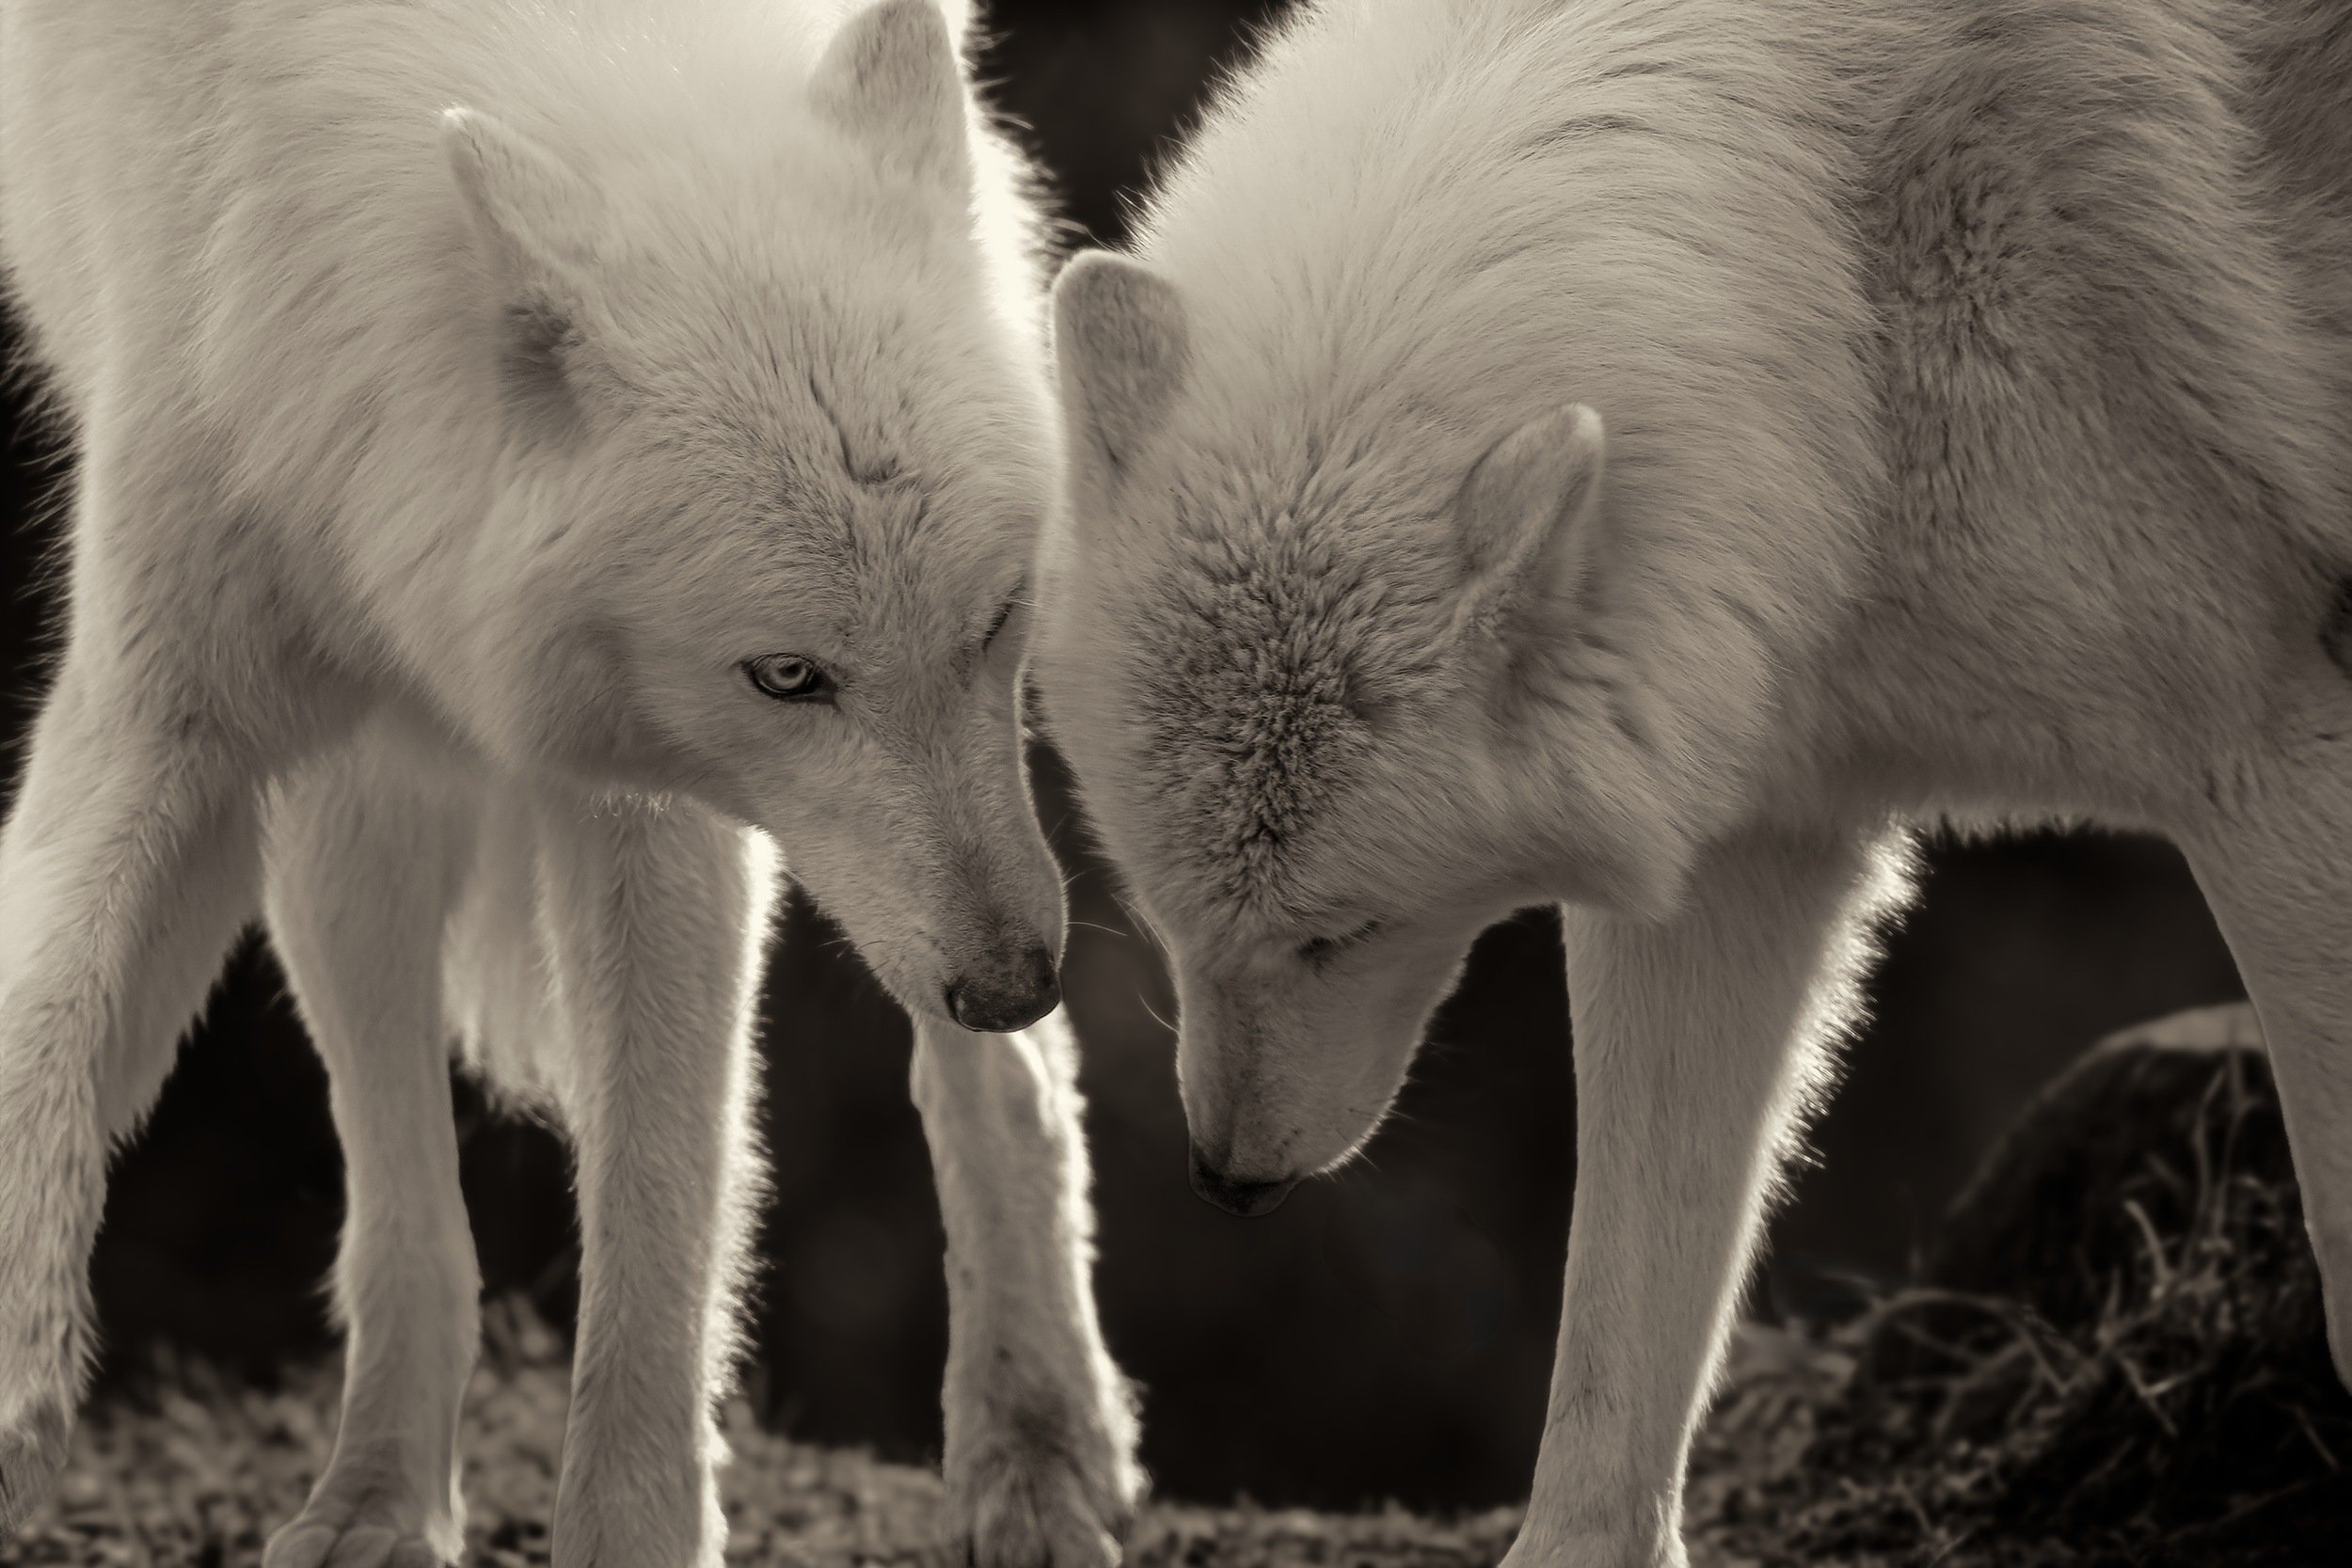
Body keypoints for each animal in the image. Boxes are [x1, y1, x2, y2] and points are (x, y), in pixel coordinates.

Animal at [0, 1, 1140, 1564]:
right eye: (790, 675)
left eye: (994, 617)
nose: (1015, 975)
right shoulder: (165, 704)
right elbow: (48, 1027)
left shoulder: (649, 804)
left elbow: (660, 1215)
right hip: (355, 808)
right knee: (399, 1171)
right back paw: (374, 1498)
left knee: (1004, 1084)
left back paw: (1037, 1449)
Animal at [1037, 0, 2352, 1560]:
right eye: (1169, 926)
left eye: (1338, 932)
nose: (1228, 1180)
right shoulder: (1739, 841)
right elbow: (1623, 1310)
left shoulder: (2276, 757)